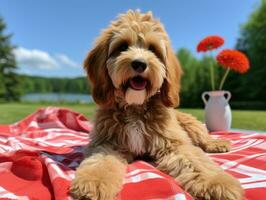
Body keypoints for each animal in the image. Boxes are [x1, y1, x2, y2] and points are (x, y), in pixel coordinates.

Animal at [70, 10, 243, 199]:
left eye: (153, 49)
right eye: (122, 46)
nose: (139, 63)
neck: (135, 107)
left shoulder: (174, 144)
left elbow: (196, 161)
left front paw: (217, 183)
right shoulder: (107, 142)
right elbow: (100, 161)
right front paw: (94, 181)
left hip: (190, 123)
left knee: (202, 137)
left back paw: (216, 144)